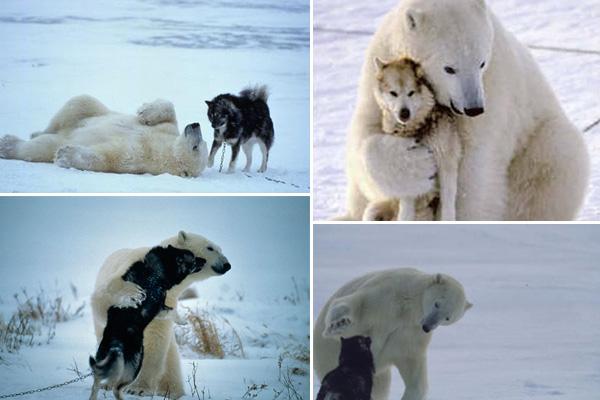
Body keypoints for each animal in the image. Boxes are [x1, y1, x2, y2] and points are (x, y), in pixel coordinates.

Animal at [0, 94, 209, 177]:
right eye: (202, 142)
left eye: (196, 147)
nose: (195, 125)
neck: (165, 149)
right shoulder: (168, 131)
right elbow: (169, 112)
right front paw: (145, 111)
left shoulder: (141, 157)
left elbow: (109, 156)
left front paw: (65, 155)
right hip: (88, 110)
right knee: (79, 103)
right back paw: (35, 131)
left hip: (56, 140)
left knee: (40, 147)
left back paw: (8, 145)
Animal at [90, 230, 231, 398]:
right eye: (210, 248)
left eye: (221, 249)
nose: (227, 265)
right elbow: (104, 298)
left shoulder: (168, 300)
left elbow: (156, 339)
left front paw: (139, 388)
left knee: (171, 362)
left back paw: (172, 391)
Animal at [314, 268, 474, 400]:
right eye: (437, 303)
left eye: (448, 317)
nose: (428, 326)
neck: (408, 309)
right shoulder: (386, 296)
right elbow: (357, 305)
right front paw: (339, 324)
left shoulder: (410, 333)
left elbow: (412, 366)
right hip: (327, 356)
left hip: (380, 374)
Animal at [342, 0, 592, 220]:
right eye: (449, 68)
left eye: (481, 63)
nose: (474, 108)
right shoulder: (379, 67)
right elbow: (364, 133)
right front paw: (415, 165)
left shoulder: (494, 87)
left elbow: (475, 166)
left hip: (536, 142)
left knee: (555, 158)